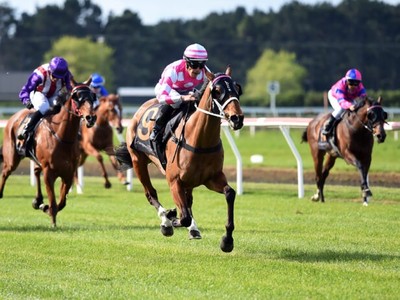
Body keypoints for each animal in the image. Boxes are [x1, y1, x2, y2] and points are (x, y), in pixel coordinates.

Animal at [0, 81, 97, 226]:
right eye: (77, 98)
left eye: (92, 96)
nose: (91, 117)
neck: (62, 137)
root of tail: (13, 118)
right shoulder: (49, 172)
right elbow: (53, 202)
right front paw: (53, 222)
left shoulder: (68, 173)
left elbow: (62, 202)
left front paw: (44, 206)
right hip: (12, 157)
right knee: (5, 172)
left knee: (35, 171)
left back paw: (38, 200)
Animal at [115, 66, 244, 253]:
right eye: (217, 91)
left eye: (237, 88)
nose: (237, 118)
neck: (199, 140)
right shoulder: (174, 180)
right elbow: (183, 217)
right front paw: (170, 218)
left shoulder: (212, 178)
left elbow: (230, 193)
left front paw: (227, 240)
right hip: (138, 161)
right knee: (151, 193)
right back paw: (166, 220)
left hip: (189, 181)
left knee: (188, 201)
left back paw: (192, 228)